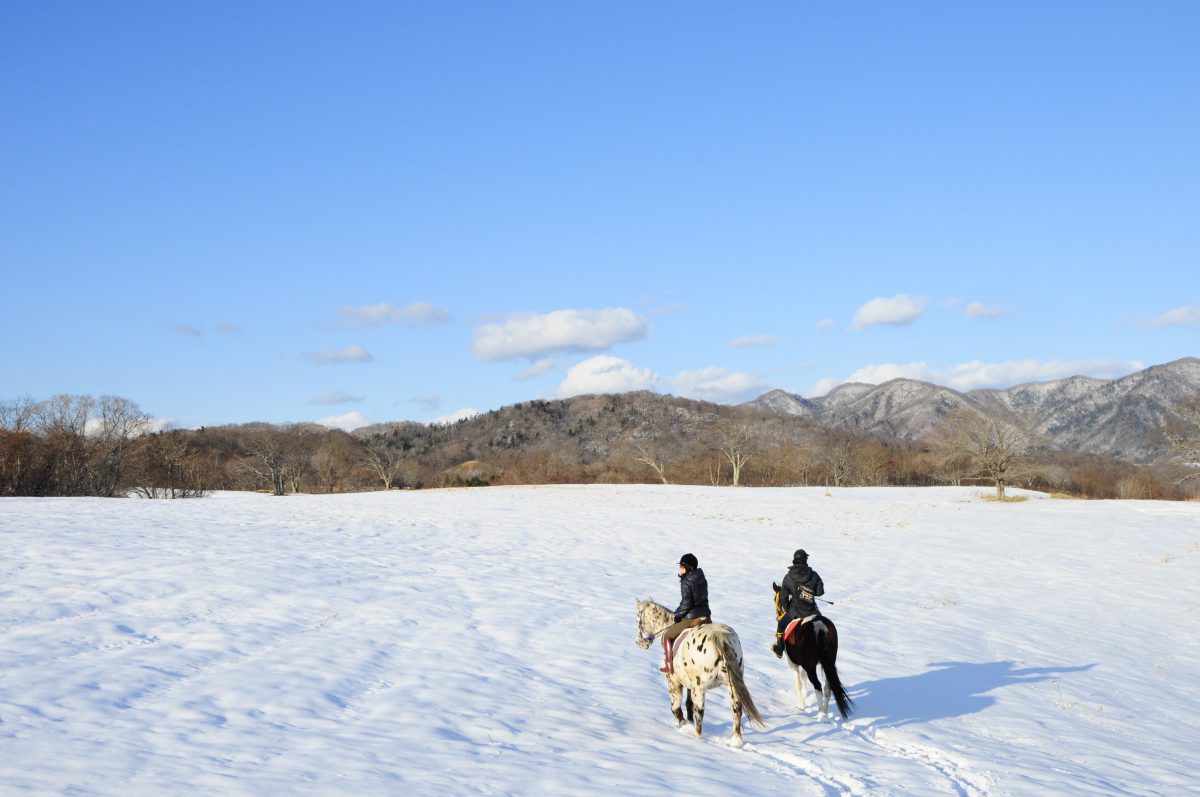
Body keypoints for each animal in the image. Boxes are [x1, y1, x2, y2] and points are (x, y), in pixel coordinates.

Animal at [633, 597, 763, 748]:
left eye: (638, 620)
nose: (639, 643)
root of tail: (720, 636)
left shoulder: (674, 680)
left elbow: (675, 707)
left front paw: (683, 724)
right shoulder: (689, 684)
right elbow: (688, 704)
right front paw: (688, 722)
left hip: (700, 688)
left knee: (700, 712)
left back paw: (697, 738)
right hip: (731, 685)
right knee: (736, 708)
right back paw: (736, 742)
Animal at [772, 583, 859, 720]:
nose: (778, 616)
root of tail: (819, 626)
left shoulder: (793, 663)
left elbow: (798, 683)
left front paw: (801, 706)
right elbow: (803, 679)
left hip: (811, 667)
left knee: (818, 686)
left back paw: (821, 713)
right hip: (828, 663)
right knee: (828, 687)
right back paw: (825, 712)